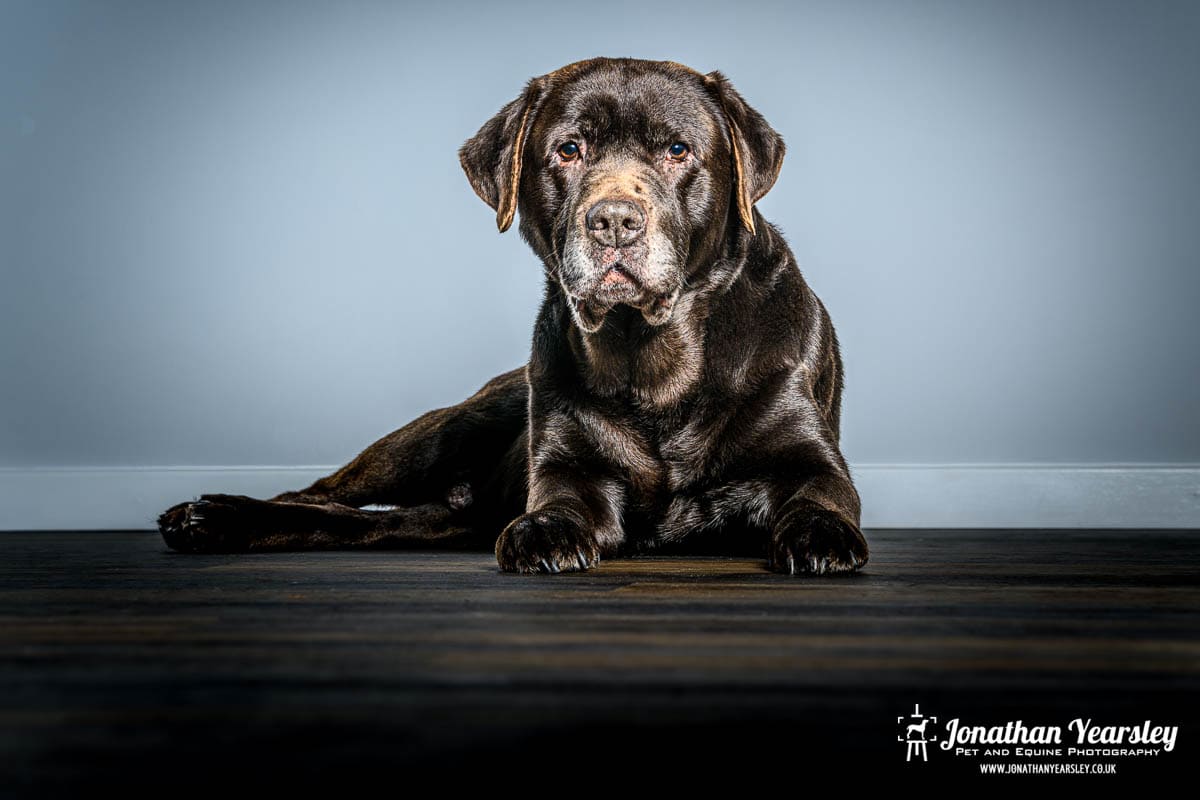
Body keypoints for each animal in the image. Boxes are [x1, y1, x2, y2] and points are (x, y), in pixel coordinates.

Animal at [159, 59, 873, 578]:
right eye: (569, 150)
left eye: (677, 150)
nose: (614, 221)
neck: (656, 363)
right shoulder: (568, 464)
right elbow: (560, 498)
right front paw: (545, 531)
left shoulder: (810, 459)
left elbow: (818, 495)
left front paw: (820, 535)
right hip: (441, 431)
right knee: (322, 492)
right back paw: (211, 515)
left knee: (368, 521)